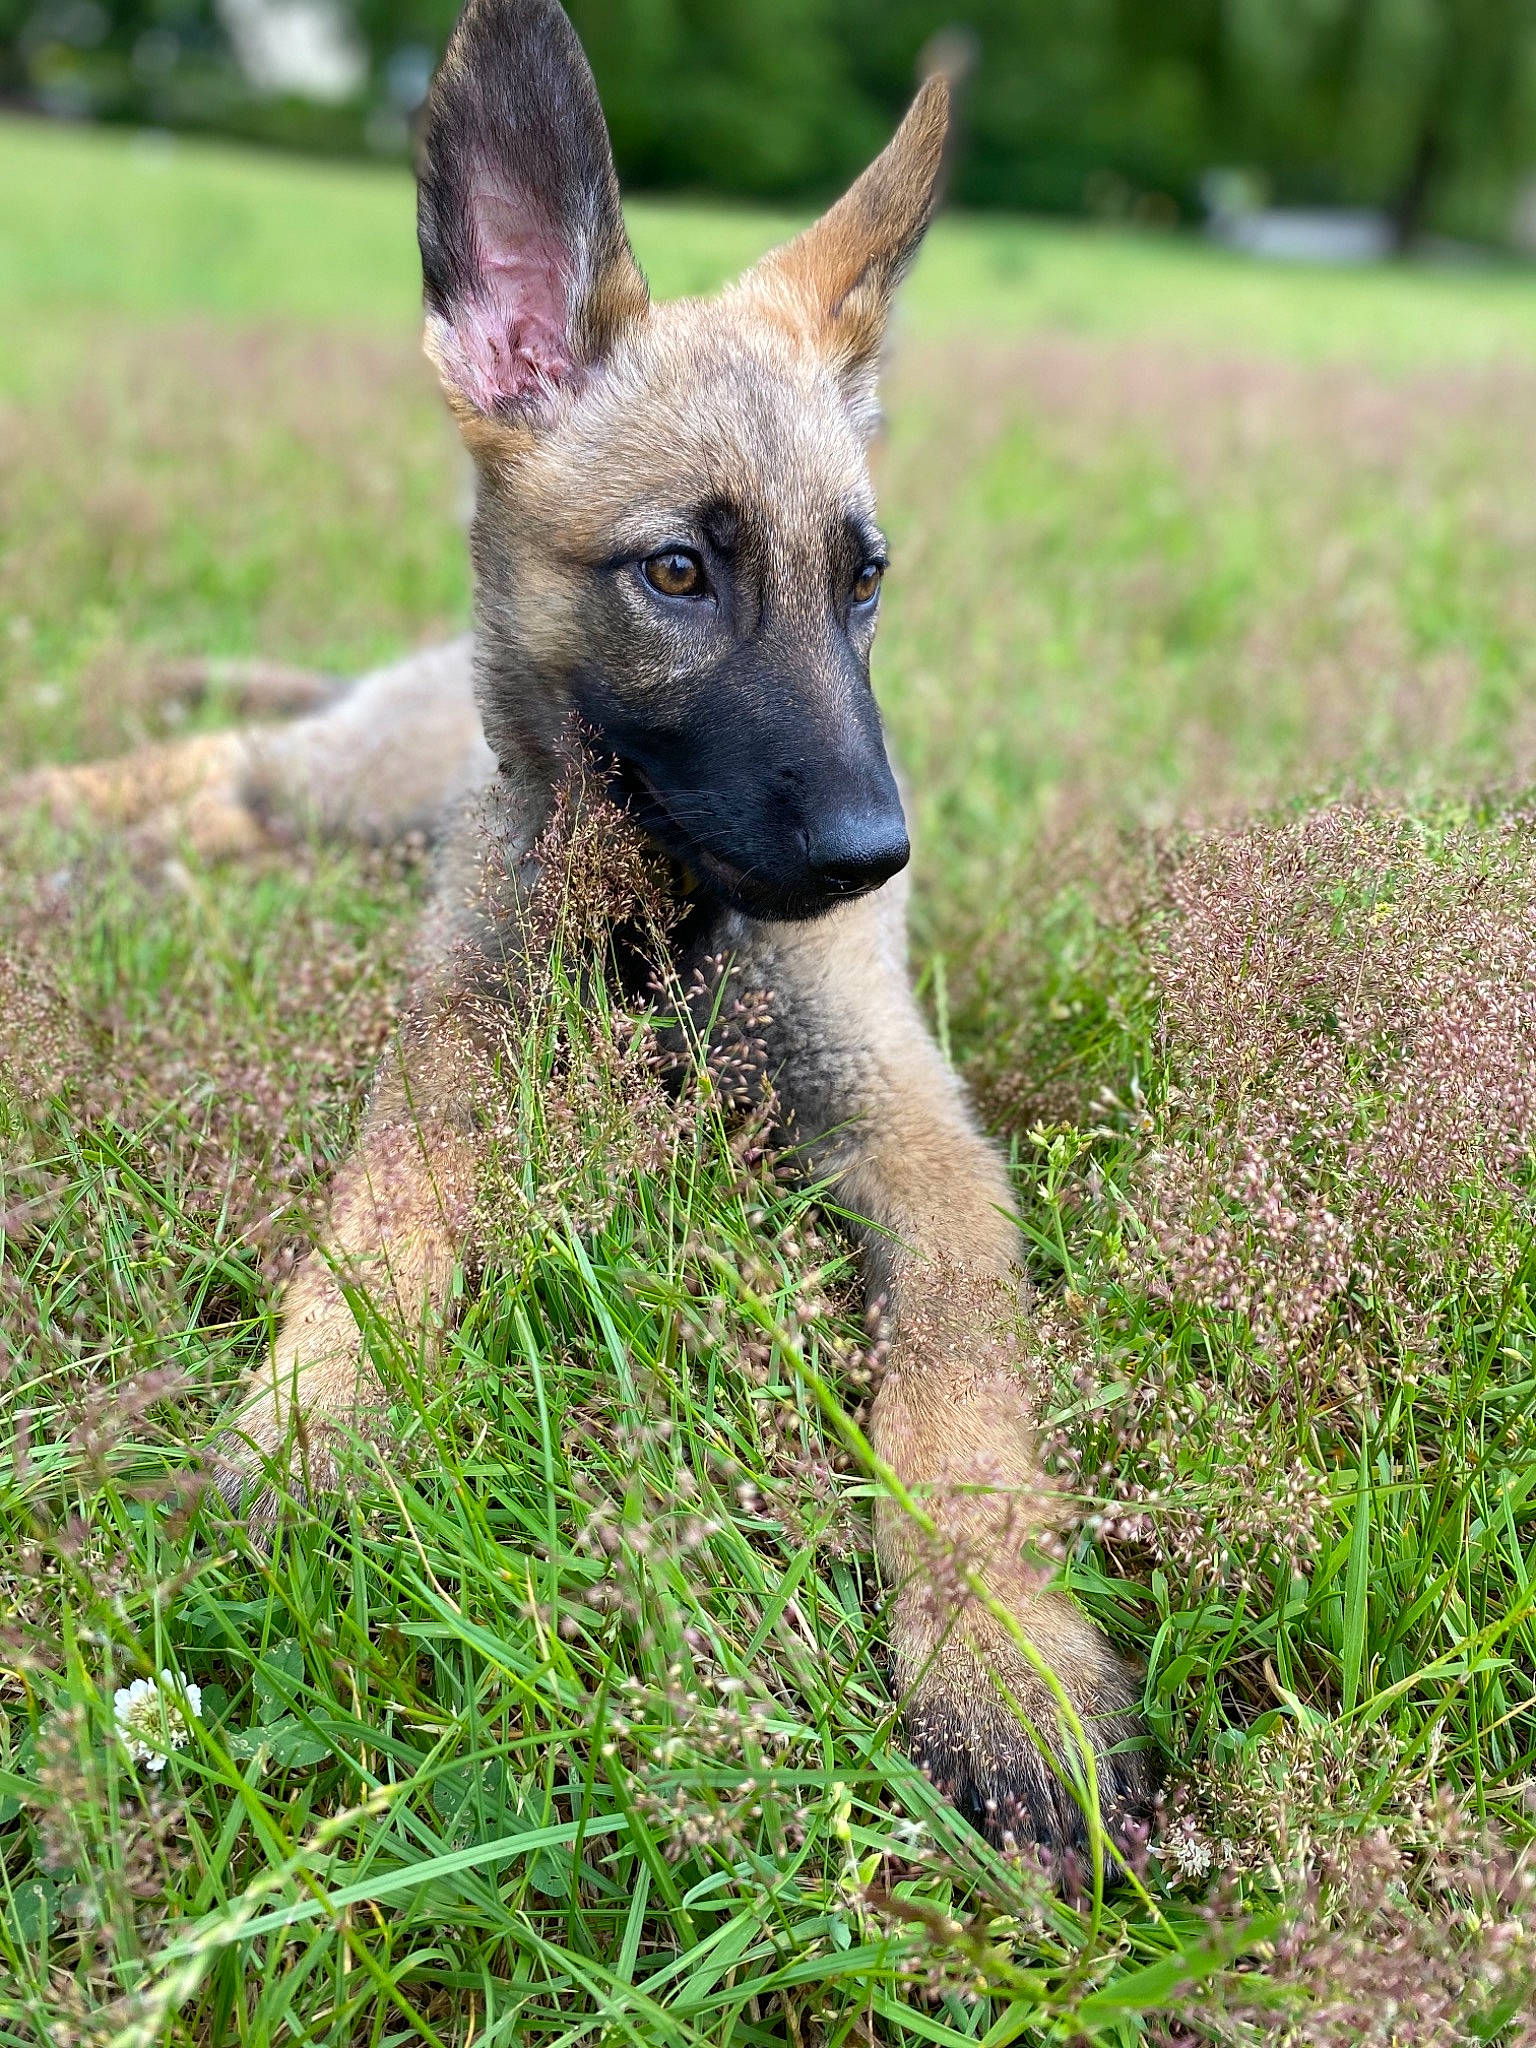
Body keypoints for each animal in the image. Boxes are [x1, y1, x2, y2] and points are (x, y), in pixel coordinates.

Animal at [11, 0, 1154, 1860]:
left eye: (863, 580)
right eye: (678, 572)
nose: (873, 854)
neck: (656, 925)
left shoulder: (920, 1140)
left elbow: (958, 1396)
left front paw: (1003, 1653)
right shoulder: (446, 1068)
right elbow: (376, 1249)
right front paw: (312, 1432)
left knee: (216, 806)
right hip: (361, 788)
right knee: (216, 769)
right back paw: (43, 825)